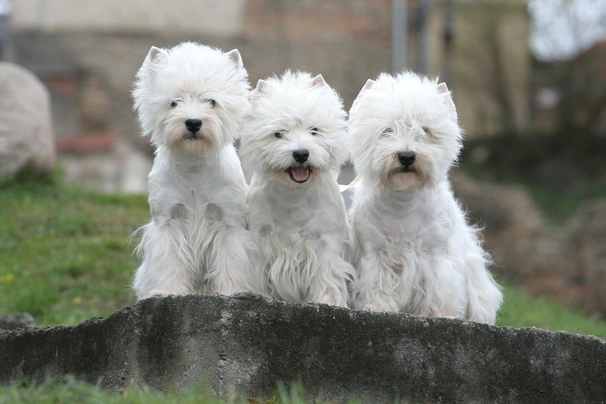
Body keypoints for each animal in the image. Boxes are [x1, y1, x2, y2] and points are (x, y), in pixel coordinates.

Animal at [132, 42, 260, 302]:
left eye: (211, 101)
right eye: (174, 102)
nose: (193, 122)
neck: (194, 166)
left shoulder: (228, 222)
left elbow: (231, 260)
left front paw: (231, 291)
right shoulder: (169, 221)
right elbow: (169, 260)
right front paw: (168, 291)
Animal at [241, 71, 356, 308]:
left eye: (314, 130)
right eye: (278, 134)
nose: (301, 154)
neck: (293, 195)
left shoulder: (325, 240)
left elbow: (326, 277)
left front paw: (327, 302)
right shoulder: (259, 236)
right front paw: (257, 294)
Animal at [346, 71, 504, 324]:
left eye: (425, 130)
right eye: (387, 130)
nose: (407, 156)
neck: (403, 202)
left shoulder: (435, 255)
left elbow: (436, 286)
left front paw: (436, 313)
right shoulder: (375, 252)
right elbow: (378, 282)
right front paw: (378, 307)